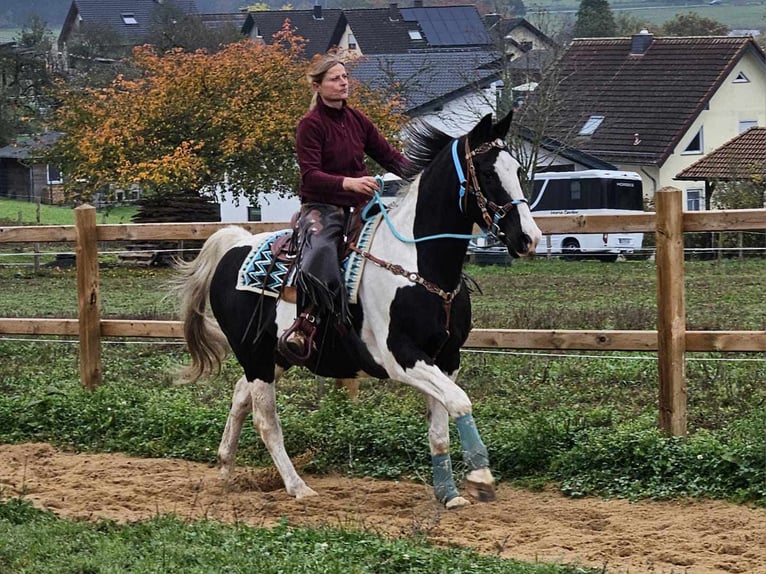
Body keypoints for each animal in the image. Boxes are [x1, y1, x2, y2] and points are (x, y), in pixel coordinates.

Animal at [177, 112, 544, 508]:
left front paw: (449, 495)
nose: (529, 238)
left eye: (517, 169)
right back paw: (297, 486)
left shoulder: (446, 358)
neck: (417, 264)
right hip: (255, 353)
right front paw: (481, 478)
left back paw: (225, 469)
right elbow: (460, 402)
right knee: (265, 418)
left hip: (276, 355)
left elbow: (440, 427)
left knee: (240, 396)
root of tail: (235, 245)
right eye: (488, 173)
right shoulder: (401, 357)